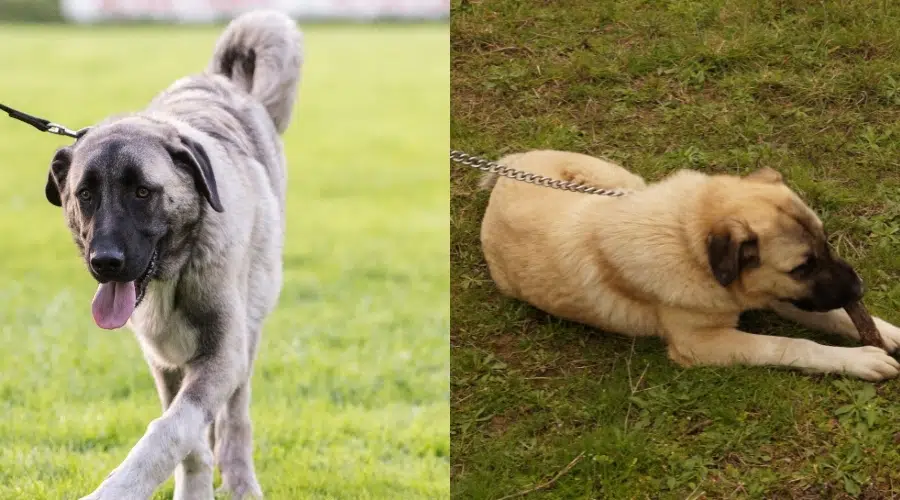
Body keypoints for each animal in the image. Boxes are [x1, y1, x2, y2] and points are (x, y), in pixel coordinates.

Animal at [43, 8, 302, 500]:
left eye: (143, 192)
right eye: (85, 195)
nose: (105, 262)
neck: (173, 274)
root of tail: (221, 81)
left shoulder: (222, 355)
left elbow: (170, 430)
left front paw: (120, 487)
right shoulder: (164, 361)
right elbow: (186, 437)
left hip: (248, 334)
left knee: (236, 420)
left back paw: (241, 482)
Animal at [482, 150, 900, 380]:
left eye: (826, 242)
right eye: (802, 267)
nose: (860, 289)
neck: (689, 242)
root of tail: (510, 169)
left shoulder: (775, 294)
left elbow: (836, 316)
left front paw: (887, 332)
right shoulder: (702, 344)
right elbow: (789, 344)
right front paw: (857, 360)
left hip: (620, 179)